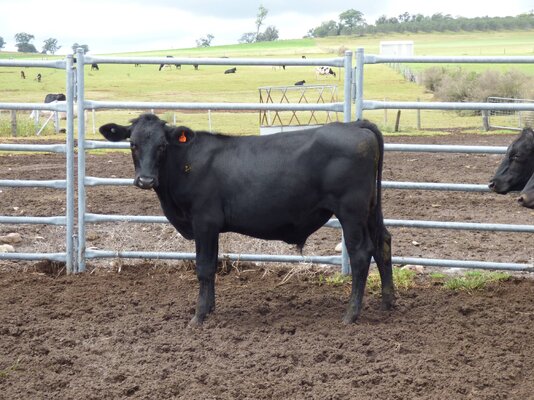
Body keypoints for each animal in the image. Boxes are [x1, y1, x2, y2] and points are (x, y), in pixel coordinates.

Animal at [99, 114, 394, 326]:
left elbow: (204, 267)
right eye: (133, 144)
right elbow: (212, 267)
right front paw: (210, 308)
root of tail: (355, 124)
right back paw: (388, 302)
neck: (186, 163)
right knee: (383, 243)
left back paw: (351, 314)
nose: (145, 180)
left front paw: (199, 316)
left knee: (361, 254)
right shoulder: (211, 228)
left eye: (162, 145)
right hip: (370, 209)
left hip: (351, 212)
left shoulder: (204, 222)